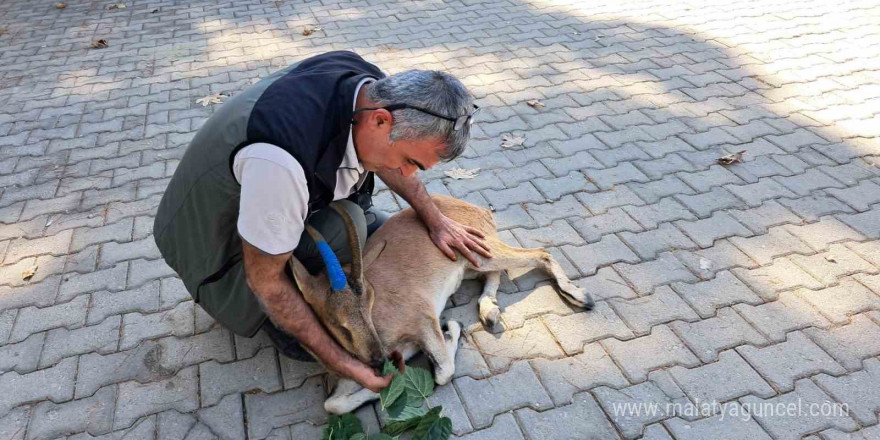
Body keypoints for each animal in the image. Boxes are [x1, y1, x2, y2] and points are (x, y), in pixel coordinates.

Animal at [292, 194, 596, 414]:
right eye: (335, 322)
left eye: (369, 301)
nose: (378, 360)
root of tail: (480, 210)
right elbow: (334, 404)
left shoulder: (423, 320)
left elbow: (444, 371)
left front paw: (452, 328)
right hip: (472, 264)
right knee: (496, 273)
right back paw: (489, 312)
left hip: (481, 251)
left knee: (540, 253)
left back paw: (579, 296)